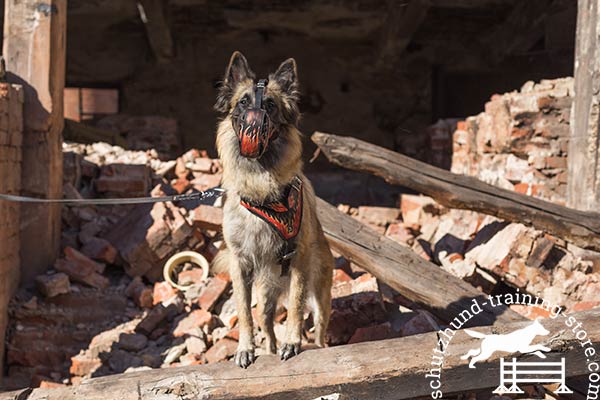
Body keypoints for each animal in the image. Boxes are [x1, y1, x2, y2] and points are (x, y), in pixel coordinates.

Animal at [212, 50, 336, 368]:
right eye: (243, 102)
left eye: (270, 104)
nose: (255, 122)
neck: (262, 190)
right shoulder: (241, 265)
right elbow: (244, 313)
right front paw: (245, 348)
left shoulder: (300, 261)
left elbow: (295, 307)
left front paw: (292, 342)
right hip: (266, 295)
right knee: (266, 322)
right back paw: (267, 348)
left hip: (320, 294)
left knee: (319, 326)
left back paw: (317, 346)